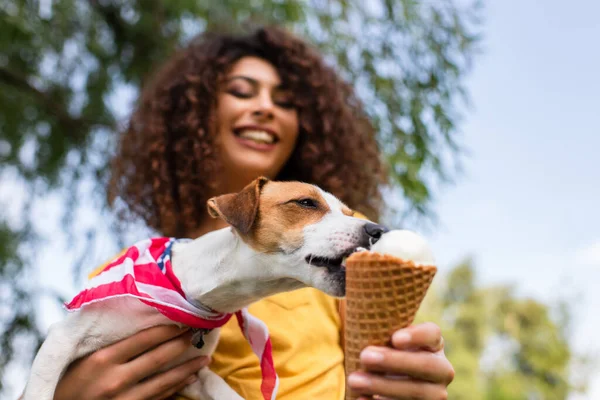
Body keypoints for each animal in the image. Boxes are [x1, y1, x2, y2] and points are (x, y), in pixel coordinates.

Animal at [22, 177, 390, 400]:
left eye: (348, 212)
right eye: (306, 203)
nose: (378, 230)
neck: (186, 293)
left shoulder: (193, 374)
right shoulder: (64, 338)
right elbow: (41, 390)